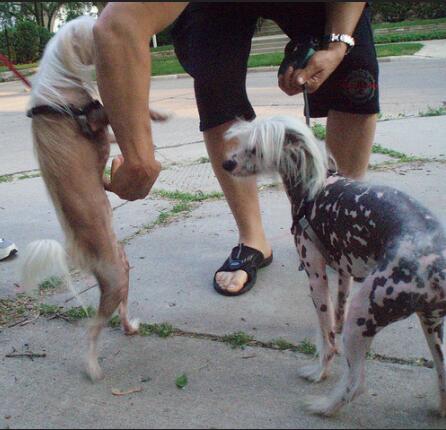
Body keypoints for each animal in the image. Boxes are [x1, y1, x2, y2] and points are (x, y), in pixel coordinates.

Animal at [20, 16, 168, 381]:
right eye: (93, 34)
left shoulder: (99, 123)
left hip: (123, 274)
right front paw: (156, 115)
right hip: (113, 283)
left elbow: (116, 129)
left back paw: (130, 328)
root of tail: (82, 256)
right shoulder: (95, 118)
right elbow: (120, 115)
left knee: (120, 312)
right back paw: (92, 366)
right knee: (93, 329)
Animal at [222, 115, 446, 417]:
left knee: (357, 383)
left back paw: (324, 406)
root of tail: (436, 265)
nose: (227, 164)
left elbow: (326, 335)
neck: (316, 185)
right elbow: (335, 316)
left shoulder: (316, 277)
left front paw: (320, 371)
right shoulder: (344, 274)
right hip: (431, 323)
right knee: (442, 373)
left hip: (363, 315)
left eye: (255, 148)